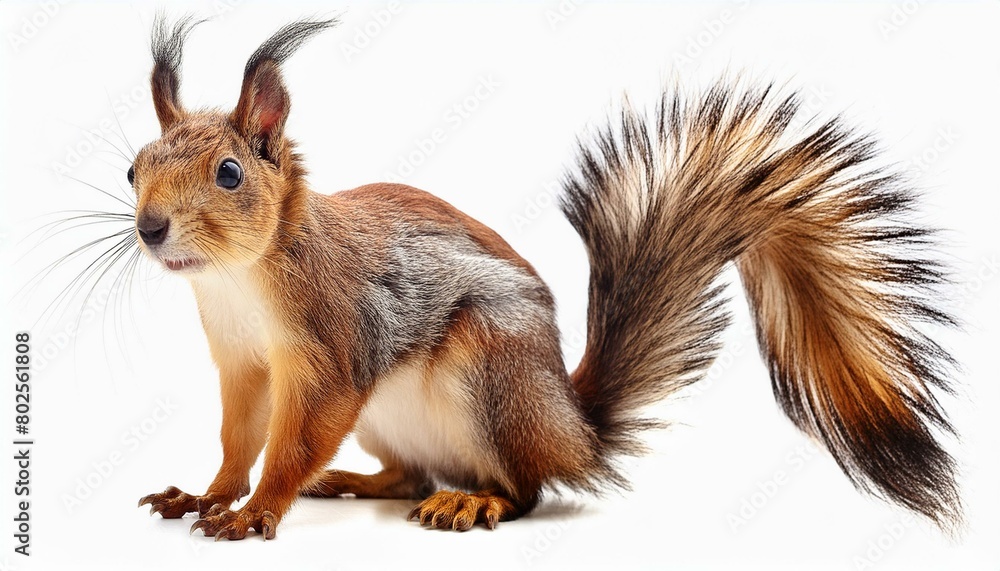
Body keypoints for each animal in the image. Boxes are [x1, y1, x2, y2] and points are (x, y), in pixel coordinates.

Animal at [132, 16, 961, 540]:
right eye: (135, 167)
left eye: (230, 173)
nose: (149, 227)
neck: (238, 280)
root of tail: (572, 428)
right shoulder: (242, 364)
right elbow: (239, 436)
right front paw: (206, 493)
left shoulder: (335, 345)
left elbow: (292, 440)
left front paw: (257, 509)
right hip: (393, 419)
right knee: (409, 475)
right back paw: (357, 481)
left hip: (490, 377)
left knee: (524, 488)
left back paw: (472, 503)